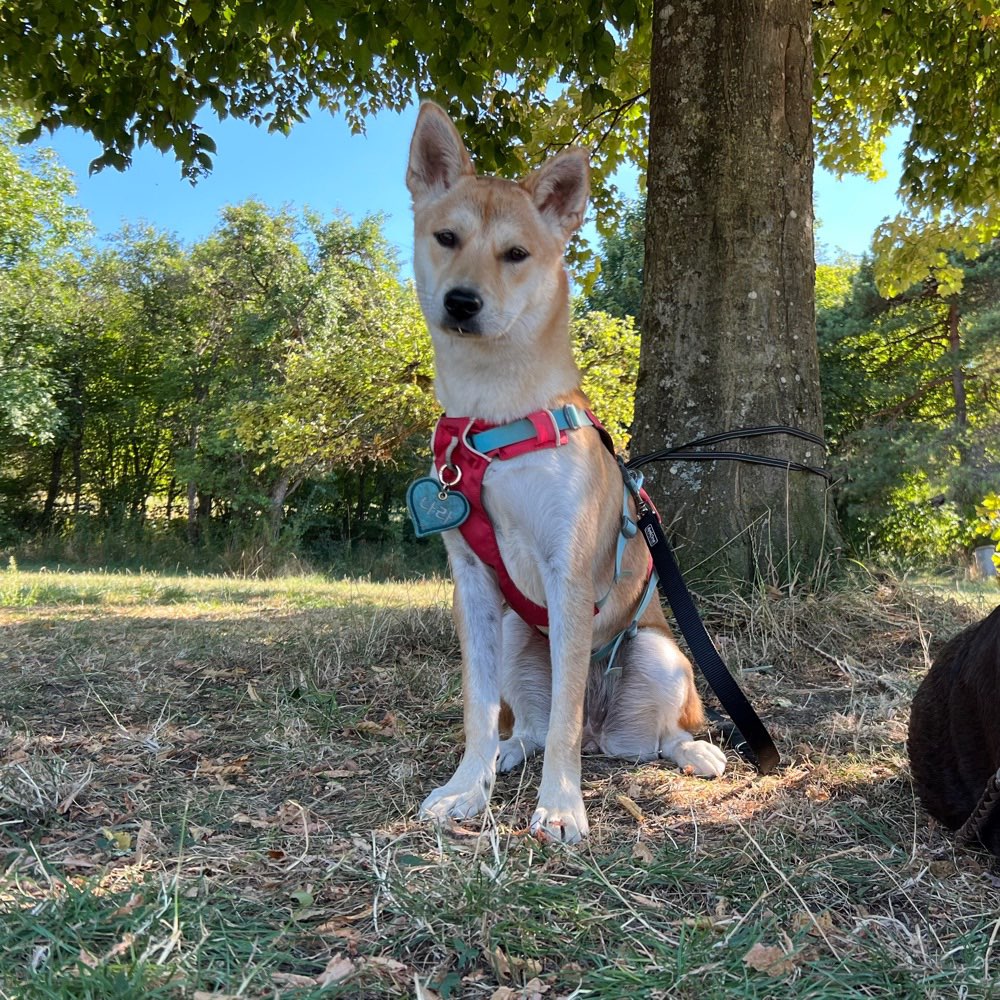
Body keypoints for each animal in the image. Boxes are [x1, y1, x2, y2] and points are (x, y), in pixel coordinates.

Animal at [406, 101, 728, 840]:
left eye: (516, 254)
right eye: (446, 238)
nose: (462, 301)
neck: (493, 420)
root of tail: (606, 734)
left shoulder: (569, 575)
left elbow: (563, 724)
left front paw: (559, 804)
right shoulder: (473, 586)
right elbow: (477, 710)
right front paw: (465, 787)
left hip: (659, 654)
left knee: (647, 734)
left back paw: (692, 750)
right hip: (519, 639)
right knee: (530, 723)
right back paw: (504, 756)